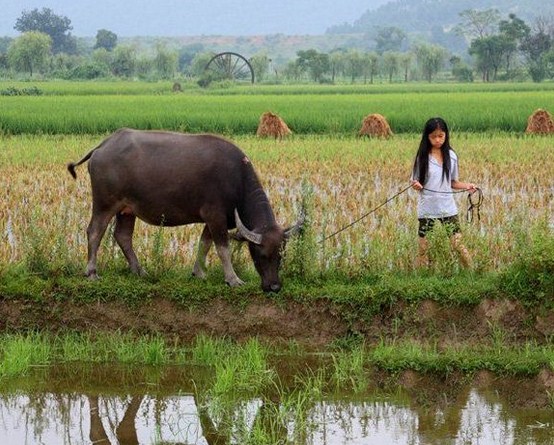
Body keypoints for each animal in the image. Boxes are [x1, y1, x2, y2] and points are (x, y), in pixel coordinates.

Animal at [70, 128, 302, 292]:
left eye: (281, 255)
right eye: (261, 254)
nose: (274, 287)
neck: (237, 180)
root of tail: (103, 145)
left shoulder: (214, 220)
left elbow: (204, 244)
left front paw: (198, 273)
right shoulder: (215, 216)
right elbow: (222, 249)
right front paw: (233, 279)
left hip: (127, 210)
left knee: (123, 236)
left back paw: (139, 271)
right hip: (105, 204)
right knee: (95, 232)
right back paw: (91, 272)